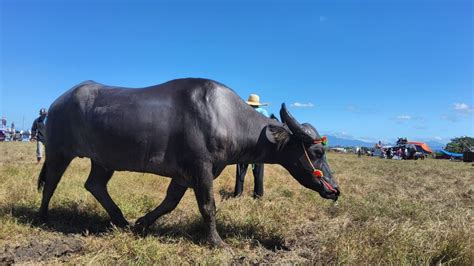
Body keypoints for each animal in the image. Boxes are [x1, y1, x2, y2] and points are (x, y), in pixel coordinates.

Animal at [39, 78, 338, 246]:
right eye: (317, 153)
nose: (334, 189)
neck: (227, 117)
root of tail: (57, 103)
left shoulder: (184, 174)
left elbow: (170, 202)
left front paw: (142, 223)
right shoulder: (201, 168)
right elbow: (208, 206)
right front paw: (217, 242)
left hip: (104, 160)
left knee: (95, 184)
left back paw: (121, 220)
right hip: (58, 152)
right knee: (51, 181)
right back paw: (43, 217)